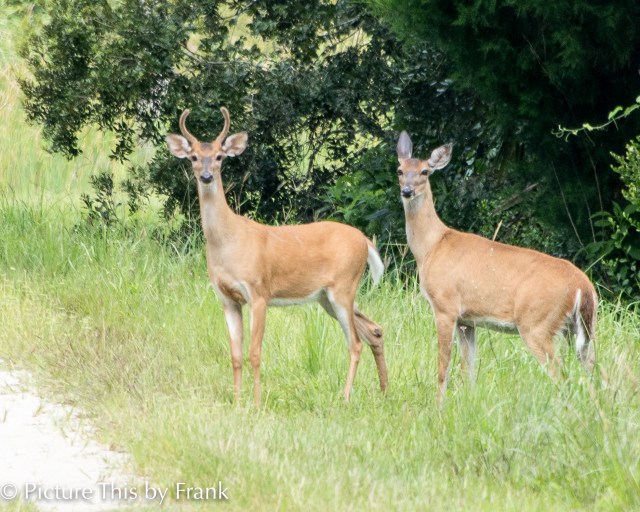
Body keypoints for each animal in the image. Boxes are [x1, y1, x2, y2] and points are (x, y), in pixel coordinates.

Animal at [166, 107, 388, 406]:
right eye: (193, 157)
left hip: (343, 287)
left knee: (355, 342)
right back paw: (384, 391)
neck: (228, 242)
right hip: (327, 297)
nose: (207, 176)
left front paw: (257, 403)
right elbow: (235, 355)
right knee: (374, 330)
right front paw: (237, 403)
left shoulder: (258, 292)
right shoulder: (227, 299)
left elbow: (255, 353)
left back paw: (345, 397)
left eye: (220, 156)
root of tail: (364, 240)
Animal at [395, 131, 597, 405]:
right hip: (581, 328)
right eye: (400, 170)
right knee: (593, 370)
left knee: (561, 375)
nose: (407, 191)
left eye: (425, 171)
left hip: (537, 323)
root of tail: (583, 285)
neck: (431, 246)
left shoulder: (445, 306)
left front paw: (438, 406)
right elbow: (468, 368)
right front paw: (467, 403)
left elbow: (443, 365)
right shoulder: (467, 319)